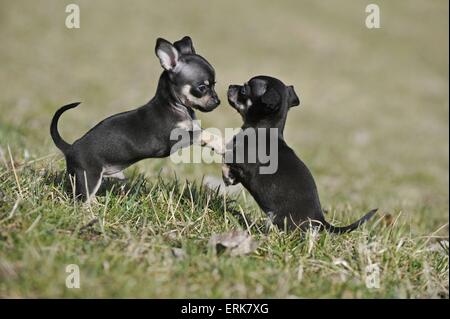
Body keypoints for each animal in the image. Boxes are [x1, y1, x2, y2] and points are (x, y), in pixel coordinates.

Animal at [51, 36, 223, 201]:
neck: (175, 105)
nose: (218, 101)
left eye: (214, 84)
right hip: (89, 178)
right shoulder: (176, 138)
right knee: (80, 201)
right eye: (202, 87)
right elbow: (203, 134)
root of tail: (70, 148)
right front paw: (220, 144)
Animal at [224, 76, 376, 234]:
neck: (262, 130)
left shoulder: (241, 160)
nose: (230, 86)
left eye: (244, 90)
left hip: (280, 219)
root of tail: (321, 221)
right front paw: (228, 177)